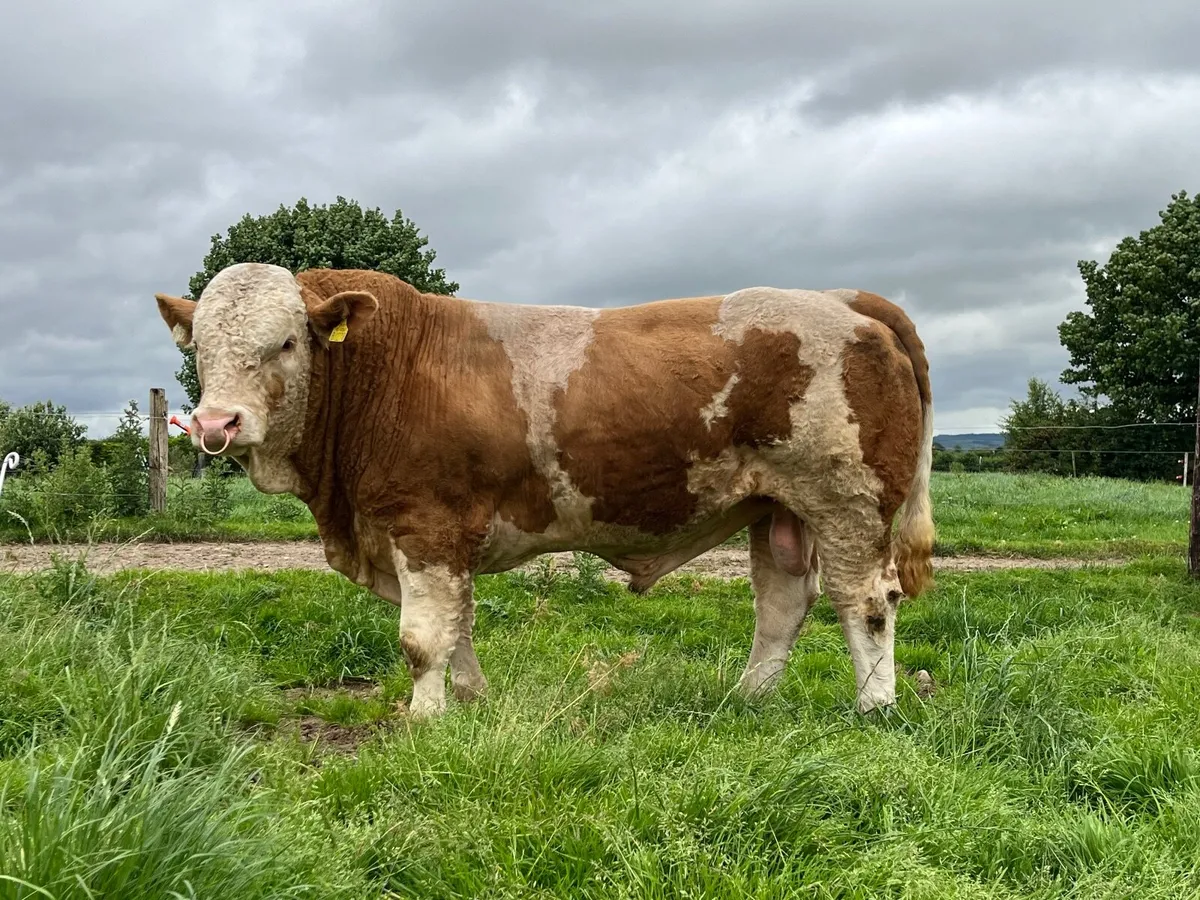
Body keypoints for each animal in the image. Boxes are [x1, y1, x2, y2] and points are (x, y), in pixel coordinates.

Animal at [154, 263, 934, 718]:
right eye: (198, 348)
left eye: (287, 342)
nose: (216, 423)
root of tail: (842, 300)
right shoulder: (440, 540)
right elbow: (457, 627)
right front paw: (471, 702)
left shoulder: (424, 526)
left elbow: (422, 638)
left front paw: (425, 720)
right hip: (775, 508)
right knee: (782, 605)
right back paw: (746, 700)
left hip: (847, 503)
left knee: (866, 604)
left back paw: (873, 707)